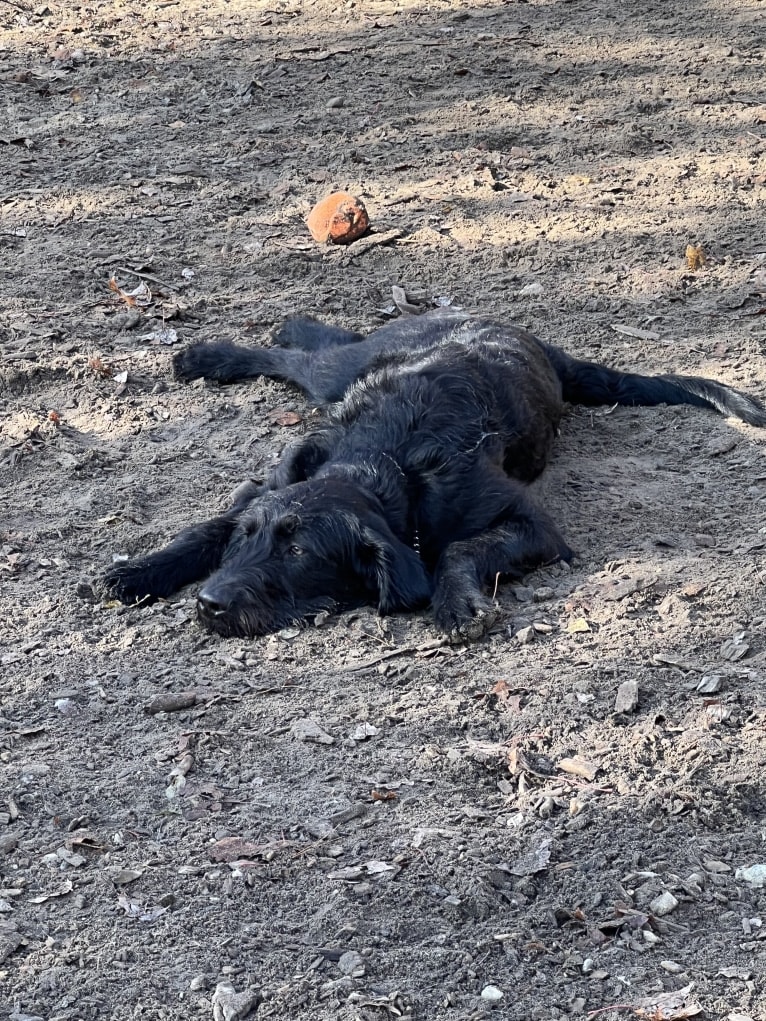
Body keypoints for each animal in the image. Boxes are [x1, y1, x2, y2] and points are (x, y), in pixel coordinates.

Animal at [102, 312, 766, 637]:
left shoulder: (532, 526)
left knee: (304, 356)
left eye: (298, 554)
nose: (209, 604)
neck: (384, 463)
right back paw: (214, 353)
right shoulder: (271, 486)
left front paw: (459, 603)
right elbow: (208, 527)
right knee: (304, 353)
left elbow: (458, 549)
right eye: (252, 540)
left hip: (341, 372)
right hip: (343, 374)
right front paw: (139, 571)